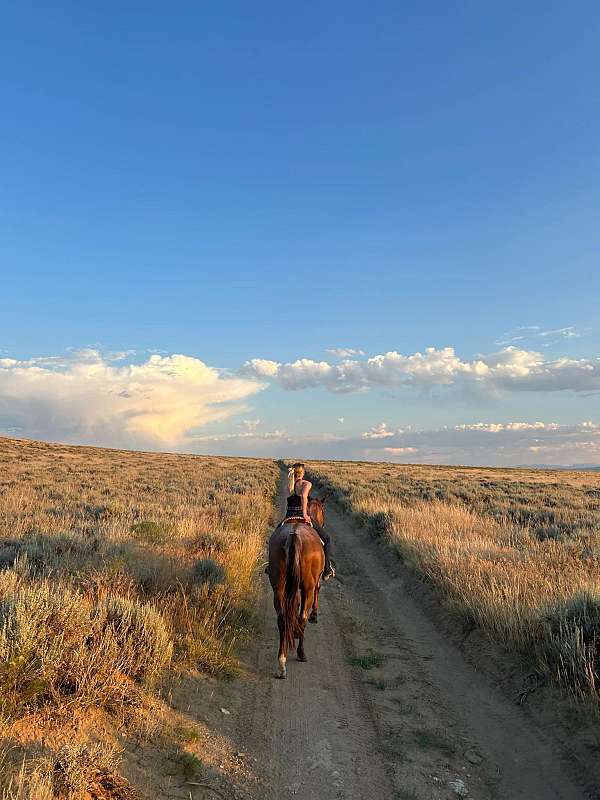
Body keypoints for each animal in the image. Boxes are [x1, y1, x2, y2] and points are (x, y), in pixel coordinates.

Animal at [268, 496, 326, 680]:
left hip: (278, 586)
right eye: (324, 511)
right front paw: (315, 615)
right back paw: (301, 653)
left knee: (282, 618)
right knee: (302, 617)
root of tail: (294, 536)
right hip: (307, 585)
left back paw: (281, 663)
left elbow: (294, 604)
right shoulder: (314, 582)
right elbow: (316, 592)